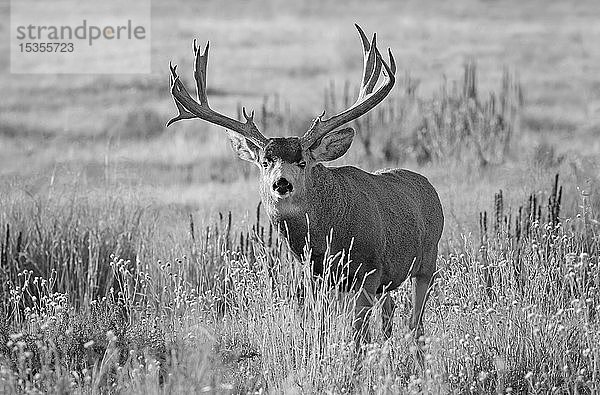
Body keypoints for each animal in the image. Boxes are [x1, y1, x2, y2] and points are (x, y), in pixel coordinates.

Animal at [166, 24, 442, 344]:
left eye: (302, 162)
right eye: (265, 162)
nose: (281, 184)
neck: (328, 235)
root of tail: (428, 185)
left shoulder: (368, 271)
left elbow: (357, 336)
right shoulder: (313, 275)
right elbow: (318, 328)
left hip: (427, 260)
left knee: (416, 322)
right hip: (389, 280)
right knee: (391, 313)